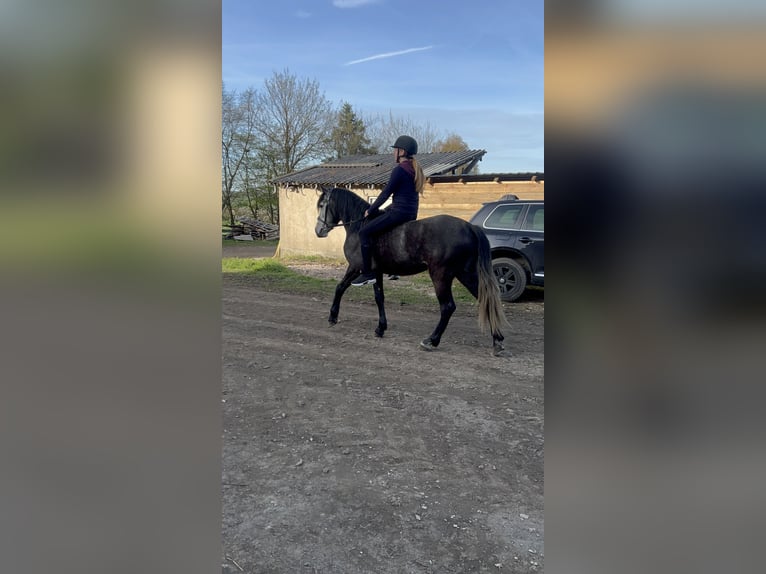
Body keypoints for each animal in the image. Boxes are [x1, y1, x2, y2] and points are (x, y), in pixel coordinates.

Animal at [314, 186, 508, 356]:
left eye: (323, 205)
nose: (318, 231)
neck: (360, 225)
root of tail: (470, 227)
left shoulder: (357, 268)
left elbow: (341, 287)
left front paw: (333, 317)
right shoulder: (376, 273)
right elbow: (378, 297)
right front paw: (380, 328)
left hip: (441, 276)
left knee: (447, 307)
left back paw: (431, 340)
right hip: (466, 274)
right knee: (486, 300)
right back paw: (497, 341)